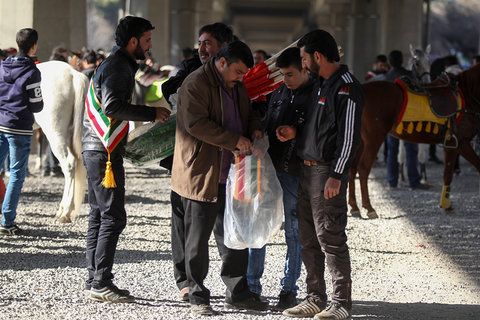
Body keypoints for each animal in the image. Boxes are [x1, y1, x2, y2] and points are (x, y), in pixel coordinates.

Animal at [348, 63, 480, 218]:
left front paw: (446, 204)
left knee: (352, 168)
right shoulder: (461, 143)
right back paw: (369, 207)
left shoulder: (451, 145)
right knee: (363, 168)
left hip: (360, 141)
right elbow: (475, 166)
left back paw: (354, 206)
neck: (467, 94)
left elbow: (447, 174)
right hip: (374, 138)